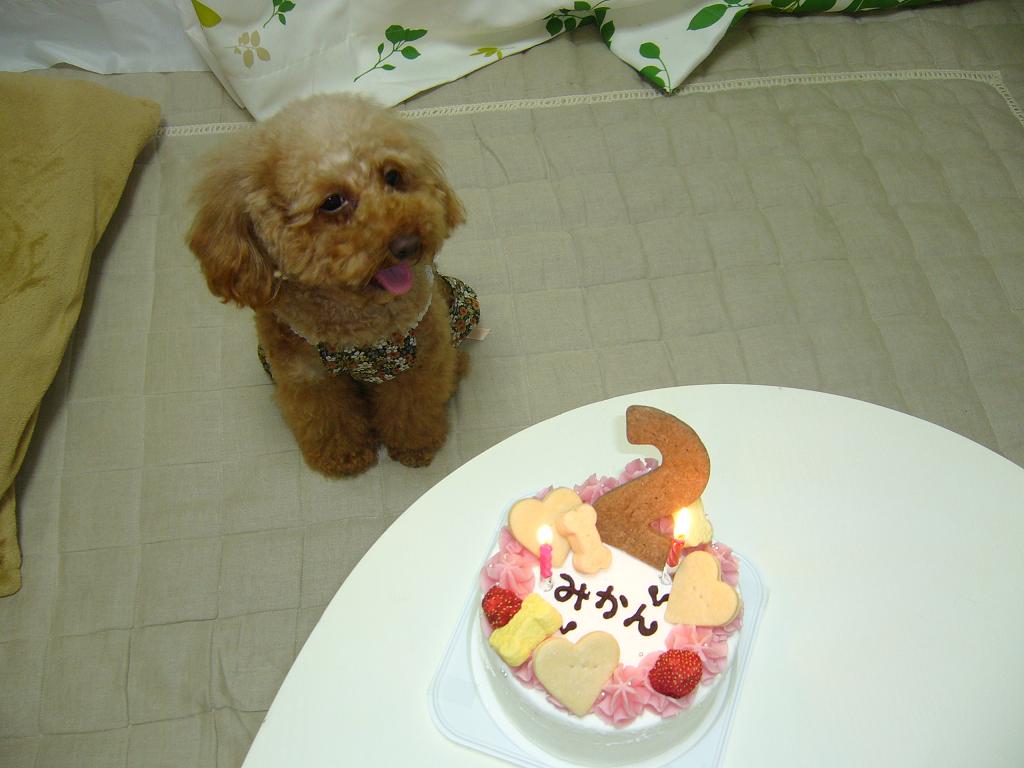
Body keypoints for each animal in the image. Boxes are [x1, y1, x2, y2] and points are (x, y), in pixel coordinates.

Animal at [187, 94, 477, 476]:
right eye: (332, 202)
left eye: (392, 176)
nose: (409, 244)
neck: (354, 325)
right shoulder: (308, 377)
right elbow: (328, 418)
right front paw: (344, 456)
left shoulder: (417, 363)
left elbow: (412, 408)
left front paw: (414, 446)